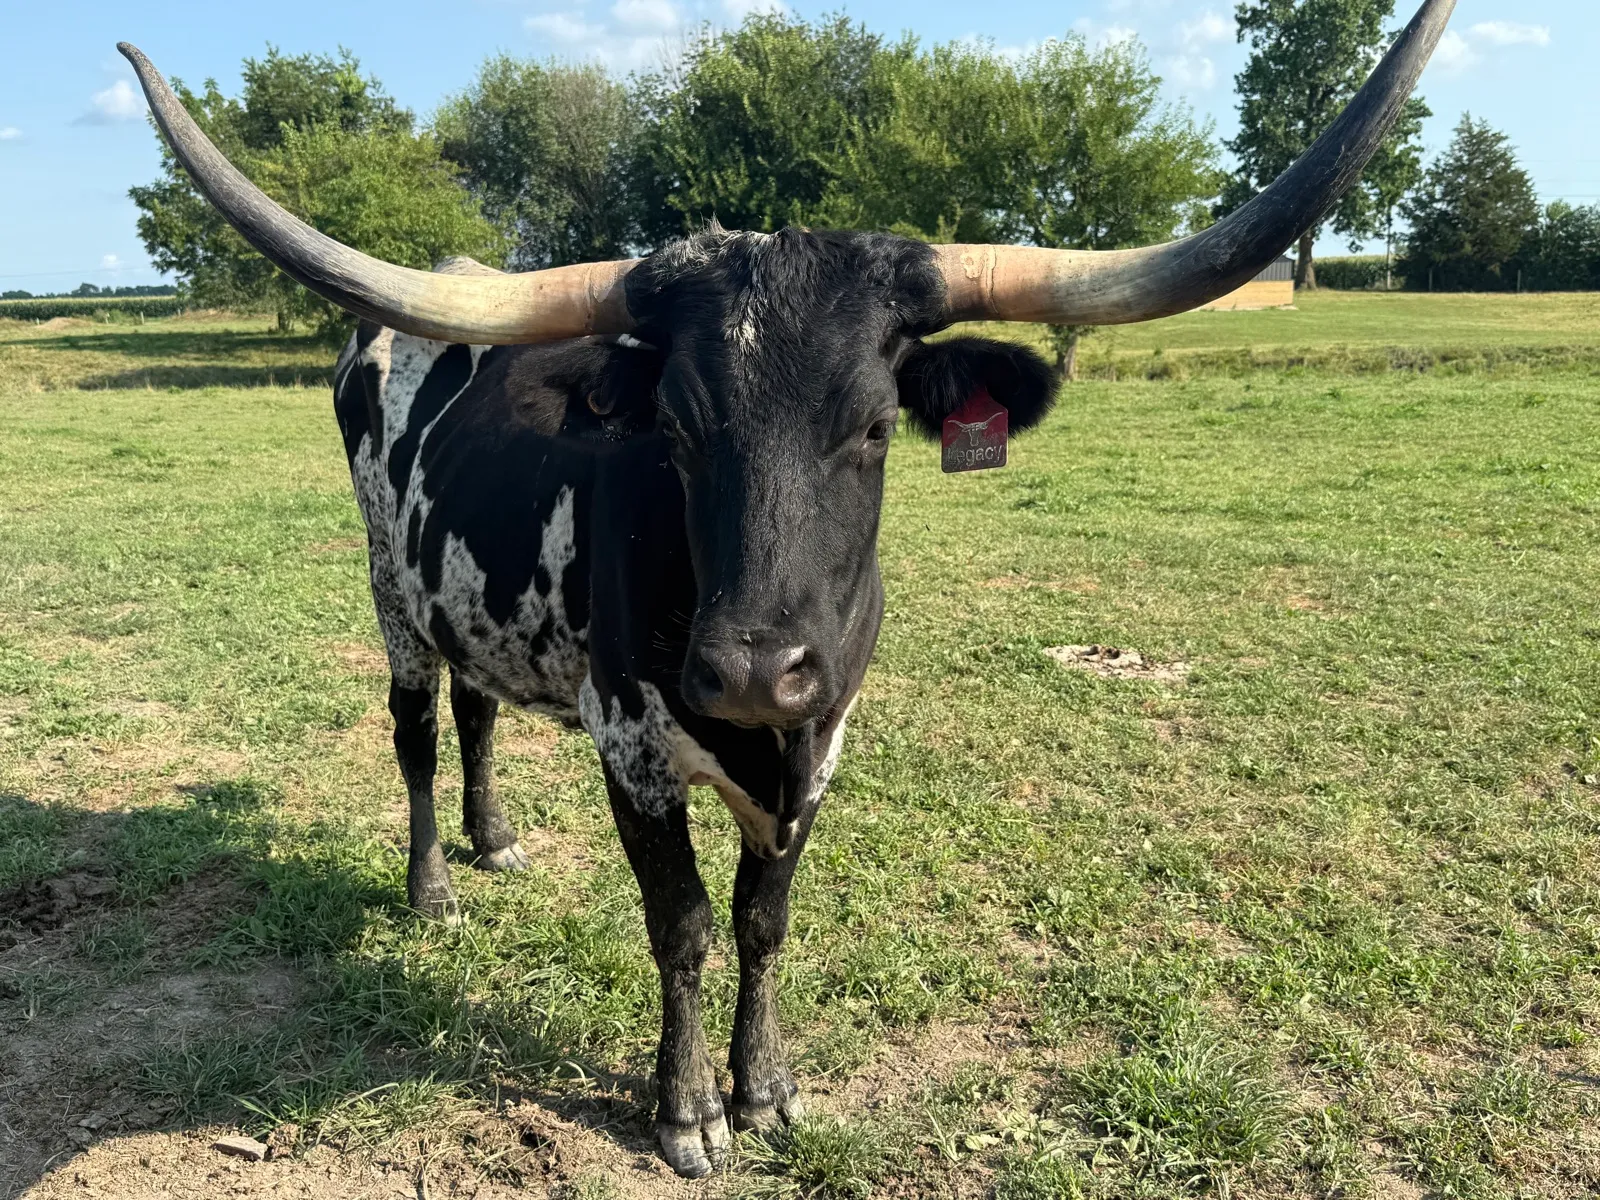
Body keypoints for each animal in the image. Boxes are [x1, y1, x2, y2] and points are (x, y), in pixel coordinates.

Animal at [118, 1, 1453, 1176]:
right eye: (674, 427)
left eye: (873, 426)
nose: (753, 670)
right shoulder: (629, 744)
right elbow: (685, 924)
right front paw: (686, 1112)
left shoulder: (824, 738)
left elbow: (764, 920)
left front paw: (763, 1088)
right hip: (390, 585)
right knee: (414, 730)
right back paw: (434, 884)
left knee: (478, 706)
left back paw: (492, 842)